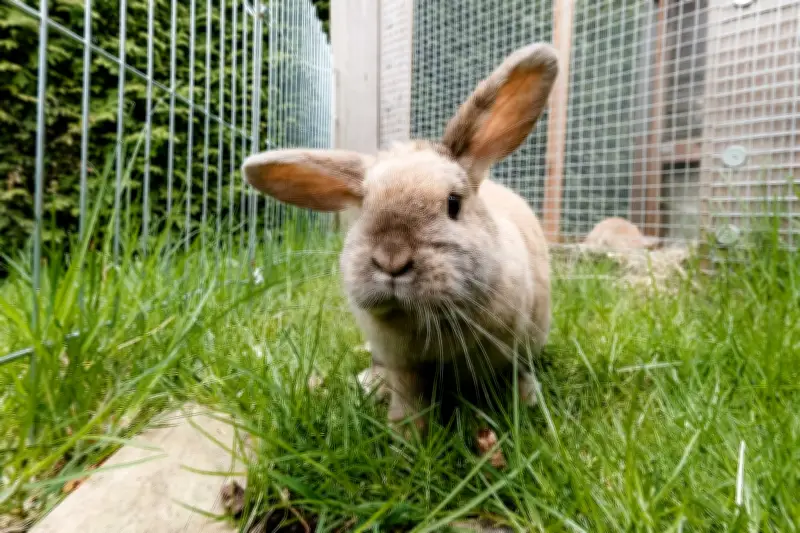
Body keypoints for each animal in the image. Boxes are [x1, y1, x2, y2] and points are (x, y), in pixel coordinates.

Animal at [241, 43, 559, 435]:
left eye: (453, 204)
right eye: (364, 209)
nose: (391, 260)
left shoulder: (516, 347)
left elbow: (515, 374)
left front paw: (525, 401)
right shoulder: (404, 366)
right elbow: (410, 400)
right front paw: (406, 436)